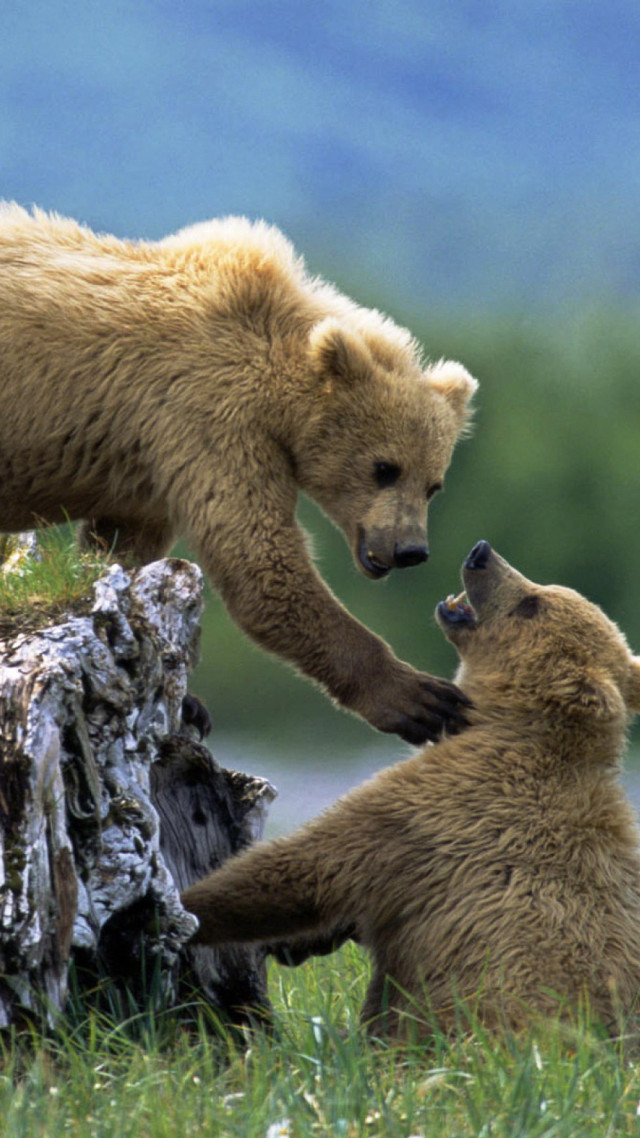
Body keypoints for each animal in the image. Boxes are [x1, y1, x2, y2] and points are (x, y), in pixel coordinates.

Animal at [0, 204, 477, 744]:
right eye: (384, 468)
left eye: (433, 485)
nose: (410, 549)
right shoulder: (211, 418)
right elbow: (260, 560)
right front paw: (422, 697)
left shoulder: (150, 459)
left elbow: (124, 546)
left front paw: (189, 701)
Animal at [181, 540, 640, 1040]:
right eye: (542, 591)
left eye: (531, 603)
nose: (482, 553)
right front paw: (298, 942)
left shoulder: (435, 812)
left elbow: (303, 870)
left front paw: (180, 908)